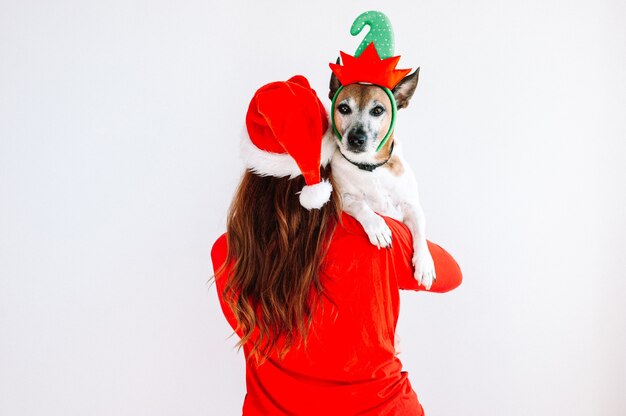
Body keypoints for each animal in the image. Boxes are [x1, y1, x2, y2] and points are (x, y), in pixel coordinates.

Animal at [326, 67, 434, 290]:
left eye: (377, 110)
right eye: (343, 108)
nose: (356, 139)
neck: (370, 168)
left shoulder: (411, 207)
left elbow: (420, 230)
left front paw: (425, 263)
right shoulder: (342, 198)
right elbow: (361, 205)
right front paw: (378, 228)